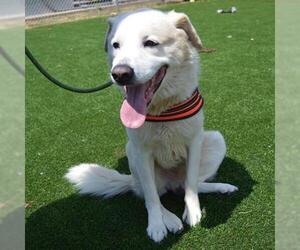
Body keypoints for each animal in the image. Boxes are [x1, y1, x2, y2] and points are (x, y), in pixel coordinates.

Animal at [65, 8, 237, 243]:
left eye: (150, 43)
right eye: (116, 45)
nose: (120, 74)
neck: (162, 108)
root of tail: (172, 183)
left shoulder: (194, 142)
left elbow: (192, 184)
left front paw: (193, 211)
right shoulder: (143, 152)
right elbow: (151, 197)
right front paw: (156, 225)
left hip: (215, 139)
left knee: (187, 185)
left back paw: (222, 187)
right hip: (133, 154)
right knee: (149, 193)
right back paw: (170, 219)